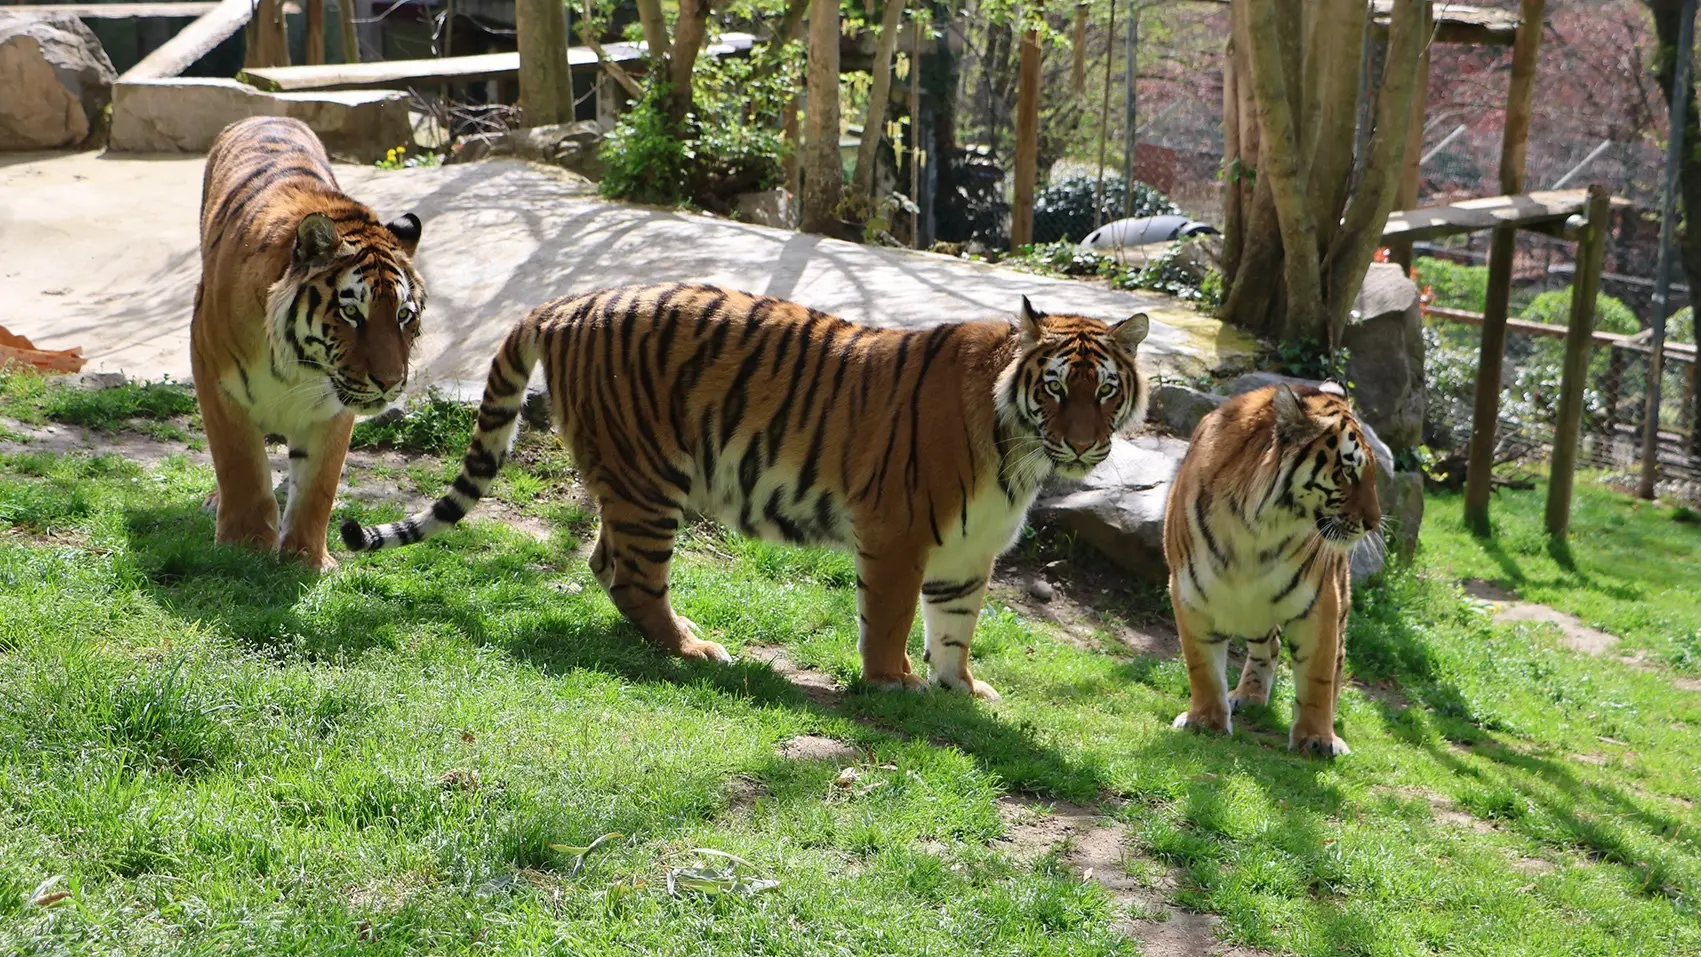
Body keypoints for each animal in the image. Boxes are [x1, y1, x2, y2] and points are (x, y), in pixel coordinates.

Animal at [191, 116, 426, 571]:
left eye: (404, 316)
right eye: (352, 313)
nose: (390, 382)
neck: (298, 367)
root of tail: (266, 115)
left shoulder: (333, 410)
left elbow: (319, 485)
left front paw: (307, 559)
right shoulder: (214, 378)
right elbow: (239, 463)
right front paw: (245, 544)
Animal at [339, 283, 1149, 700]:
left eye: (1105, 390)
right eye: (1056, 388)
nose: (1084, 443)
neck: (1019, 449)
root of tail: (565, 303)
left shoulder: (968, 549)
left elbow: (955, 627)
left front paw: (961, 689)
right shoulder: (897, 531)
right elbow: (889, 619)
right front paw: (892, 682)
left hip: (629, 477)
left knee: (604, 562)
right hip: (650, 479)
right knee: (631, 574)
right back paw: (692, 648)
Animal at [1162, 381, 1380, 757]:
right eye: (1347, 472)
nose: (1374, 523)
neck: (1255, 529)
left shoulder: (1319, 602)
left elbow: (1319, 678)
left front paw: (1317, 740)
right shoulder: (1189, 593)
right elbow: (1202, 666)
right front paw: (1206, 721)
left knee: (1336, 662)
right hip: (1252, 611)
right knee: (1271, 644)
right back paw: (1248, 696)